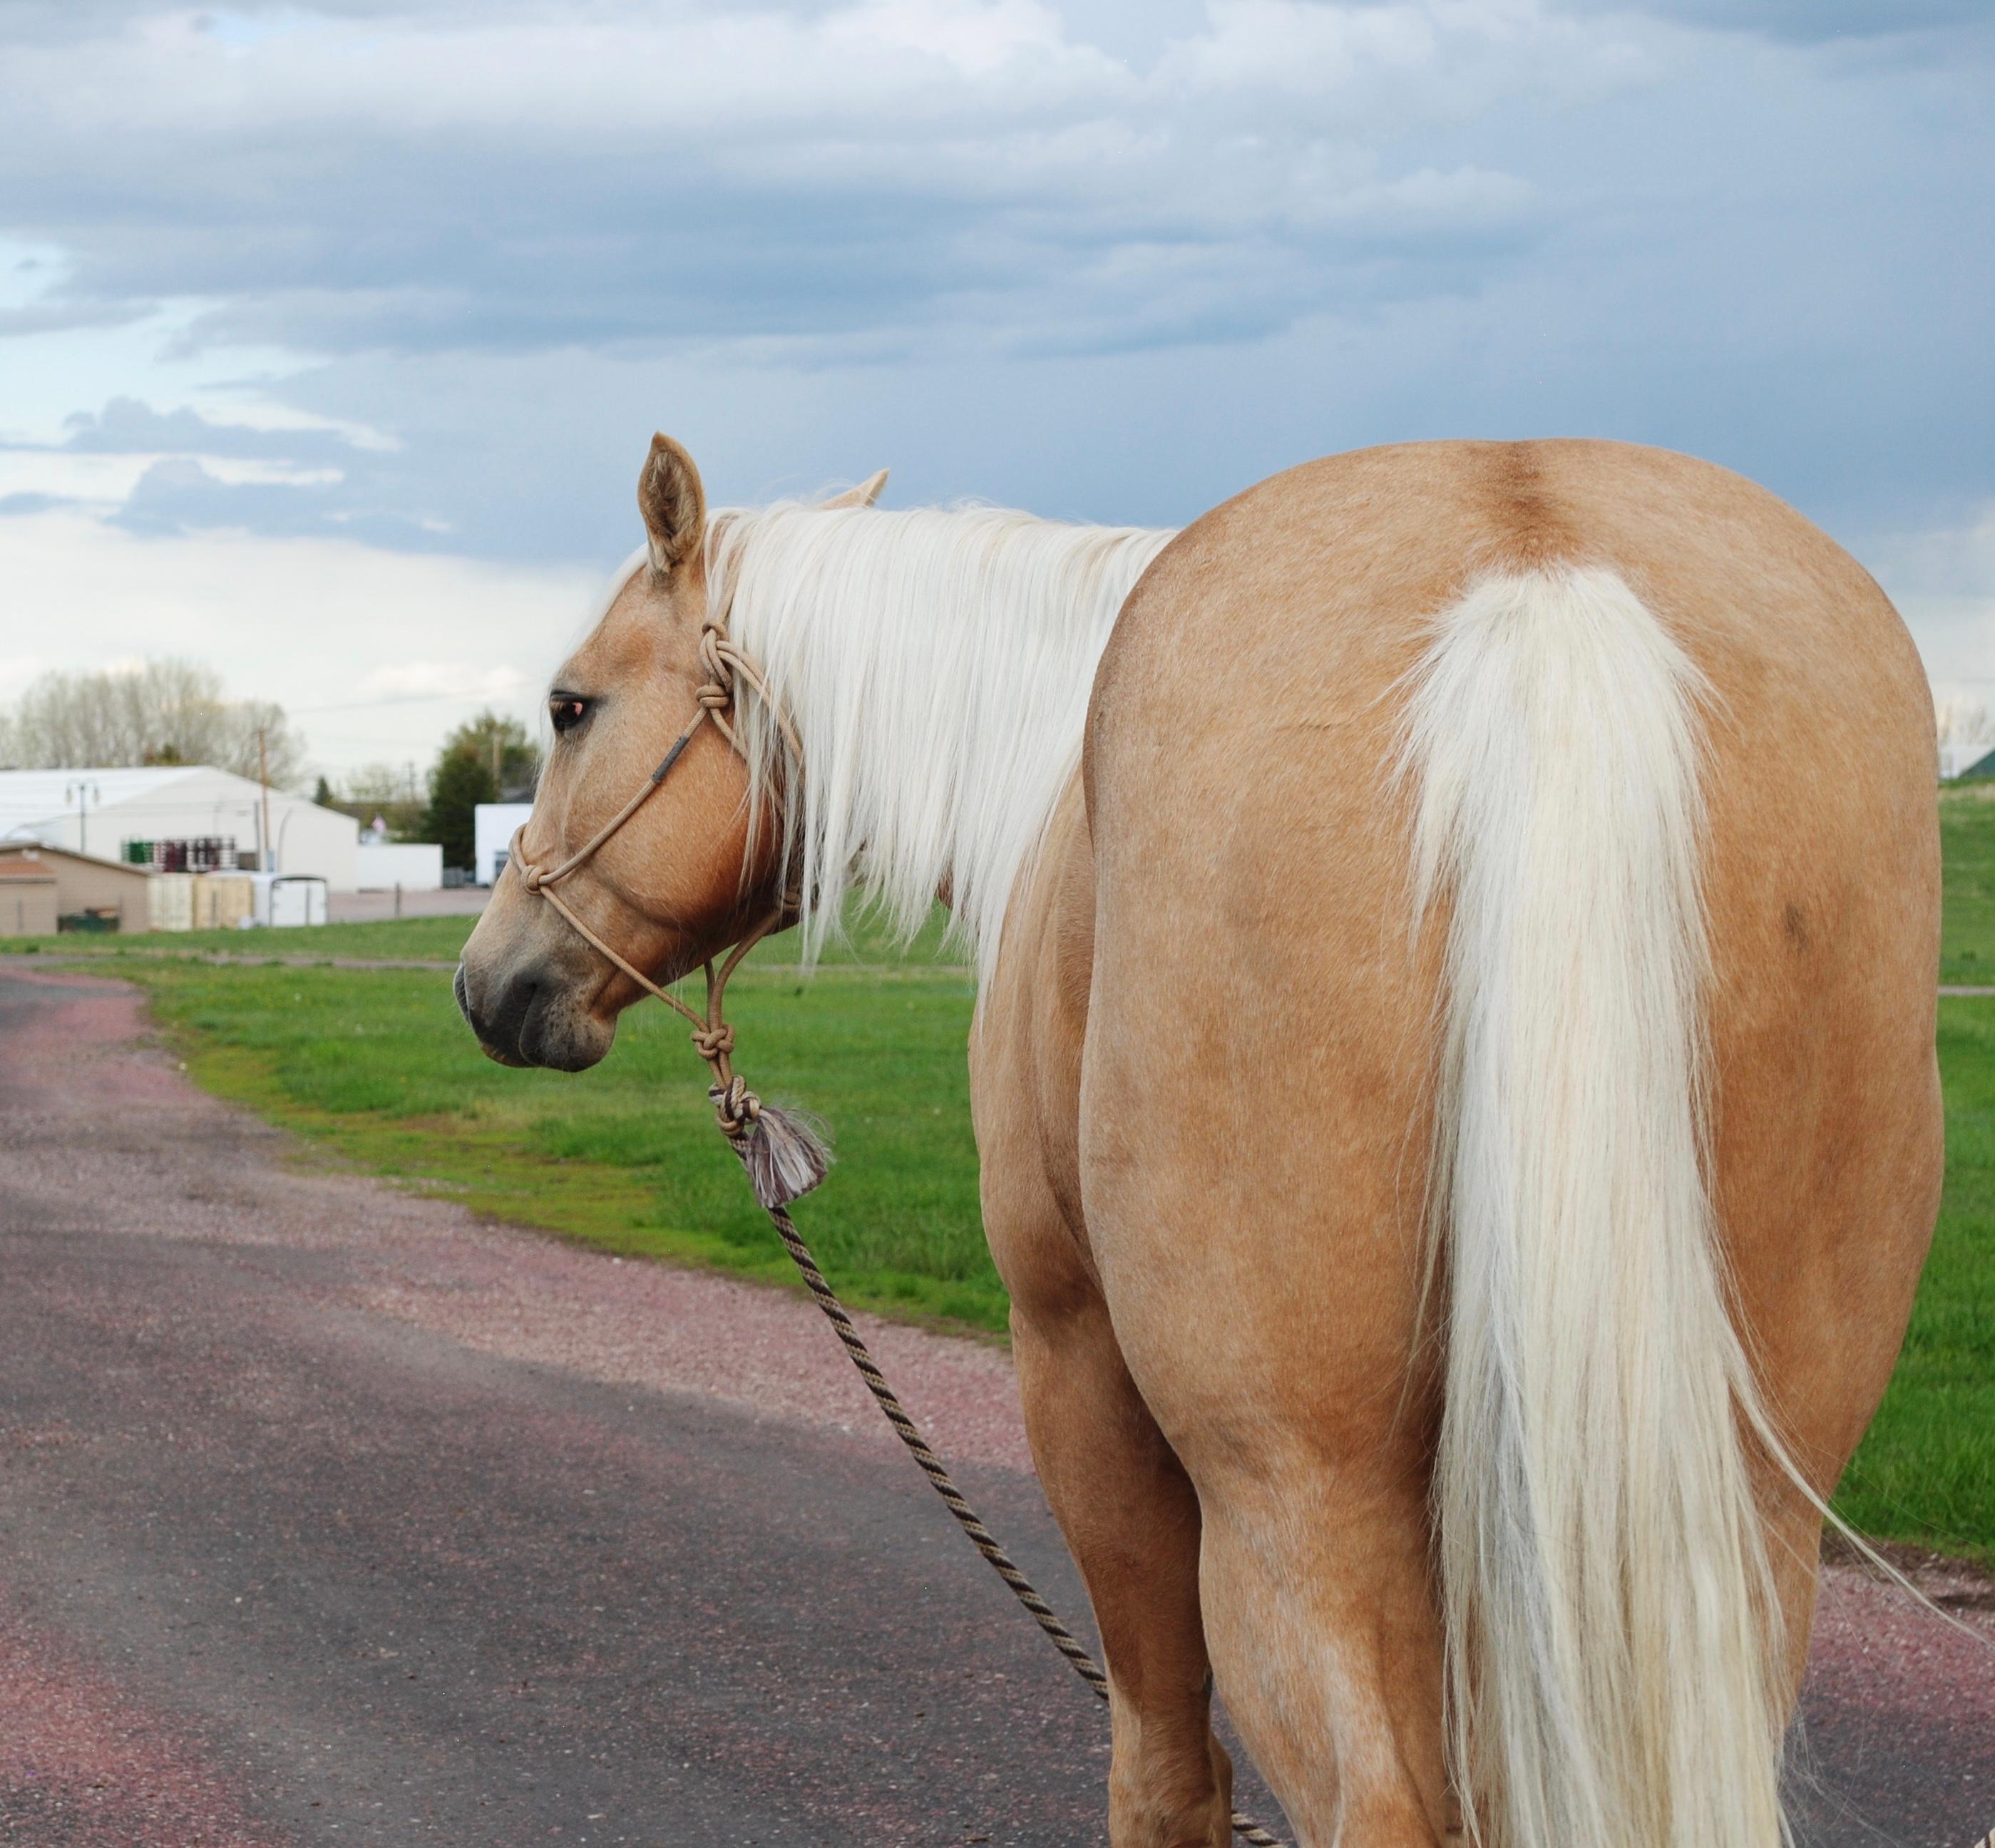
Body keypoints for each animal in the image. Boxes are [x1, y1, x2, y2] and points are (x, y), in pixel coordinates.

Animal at [458, 437, 1939, 1848]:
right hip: (1735, 1531)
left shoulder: (1076, 1366)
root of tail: (1536, 570)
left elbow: (1163, 1772)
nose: (489, 980)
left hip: (1292, 1498)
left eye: (570, 705)